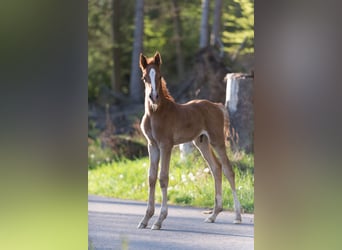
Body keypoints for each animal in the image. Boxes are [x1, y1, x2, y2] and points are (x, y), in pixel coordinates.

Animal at [138, 51, 242, 229]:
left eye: (159, 76)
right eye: (145, 77)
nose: (154, 96)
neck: (156, 112)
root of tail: (217, 105)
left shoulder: (166, 145)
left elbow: (163, 178)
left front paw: (159, 220)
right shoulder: (152, 145)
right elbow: (151, 178)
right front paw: (145, 219)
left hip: (217, 140)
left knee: (228, 169)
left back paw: (237, 216)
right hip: (201, 142)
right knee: (216, 168)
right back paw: (213, 215)